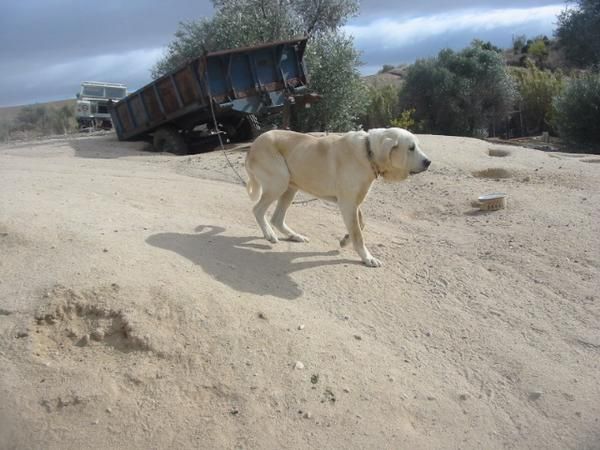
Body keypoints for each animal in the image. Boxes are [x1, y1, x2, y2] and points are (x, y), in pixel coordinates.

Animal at [245, 127, 432, 268]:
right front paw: (367, 258)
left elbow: (360, 224)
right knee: (257, 209)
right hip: (279, 182)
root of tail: (253, 145)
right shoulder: (348, 203)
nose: (428, 162)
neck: (368, 152)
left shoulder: (354, 201)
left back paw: (294, 236)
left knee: (277, 218)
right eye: (411, 148)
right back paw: (269, 234)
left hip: (290, 188)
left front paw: (345, 240)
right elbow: (358, 234)